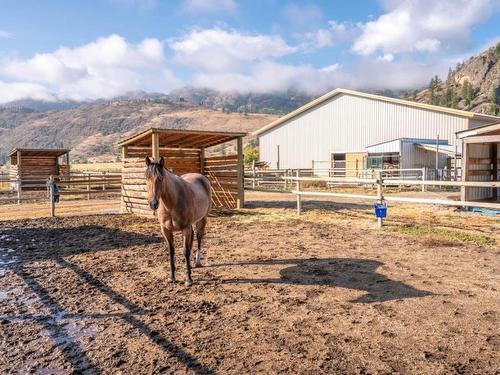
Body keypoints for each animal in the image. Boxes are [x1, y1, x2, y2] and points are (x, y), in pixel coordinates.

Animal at [146, 157, 213, 286]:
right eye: (146, 177)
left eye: (160, 178)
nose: (153, 203)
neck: (171, 204)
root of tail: (202, 177)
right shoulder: (166, 230)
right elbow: (171, 251)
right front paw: (172, 277)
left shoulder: (185, 228)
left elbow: (185, 251)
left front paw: (188, 279)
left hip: (202, 219)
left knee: (199, 238)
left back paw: (197, 262)